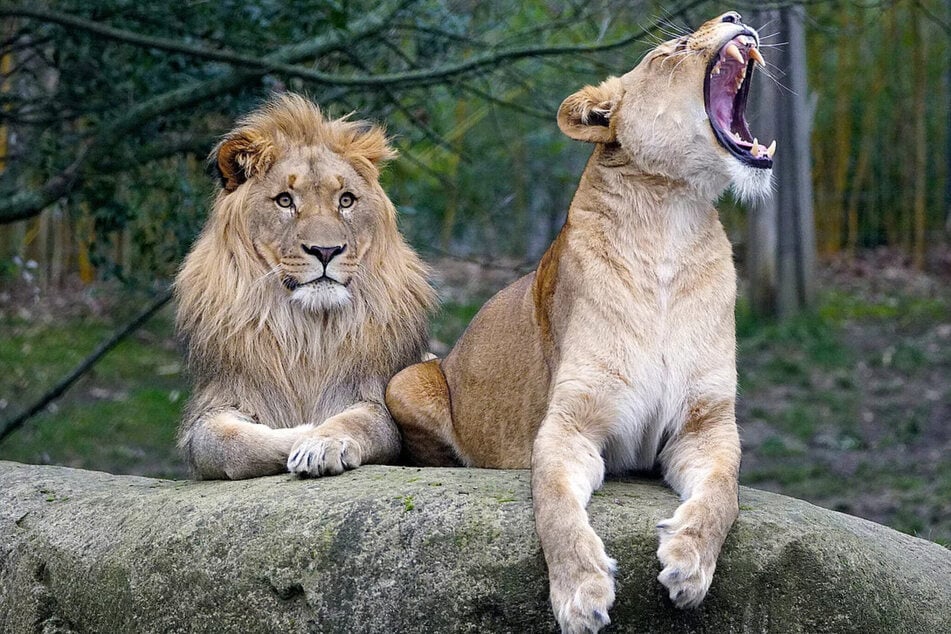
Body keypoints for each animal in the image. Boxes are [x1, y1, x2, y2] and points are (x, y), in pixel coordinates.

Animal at [175, 93, 435, 480]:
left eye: (346, 200)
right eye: (285, 200)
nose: (325, 251)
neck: (306, 331)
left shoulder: (375, 398)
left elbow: (358, 422)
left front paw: (321, 442)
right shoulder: (215, 405)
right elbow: (224, 444)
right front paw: (302, 432)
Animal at [386, 12, 773, 632]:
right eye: (670, 51)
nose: (735, 17)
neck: (669, 225)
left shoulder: (706, 423)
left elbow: (722, 493)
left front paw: (689, 563)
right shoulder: (570, 423)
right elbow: (555, 506)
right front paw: (580, 591)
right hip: (407, 378)